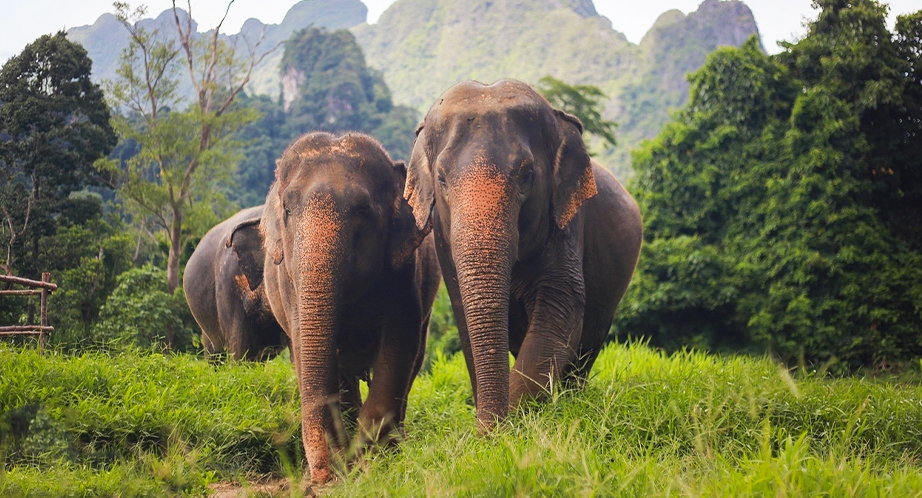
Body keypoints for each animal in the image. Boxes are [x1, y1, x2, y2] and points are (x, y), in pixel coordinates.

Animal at [248, 130, 438, 484]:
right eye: (287, 209)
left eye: (363, 210)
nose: (320, 478)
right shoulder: (289, 283)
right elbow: (307, 353)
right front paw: (349, 460)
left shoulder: (405, 273)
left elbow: (398, 348)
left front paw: (371, 459)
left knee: (413, 361)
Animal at [406, 79, 644, 432]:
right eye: (442, 178)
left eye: (527, 175)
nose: (487, 434)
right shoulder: (442, 242)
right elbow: (465, 321)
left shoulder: (567, 220)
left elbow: (561, 310)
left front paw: (514, 424)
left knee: (588, 344)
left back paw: (570, 401)